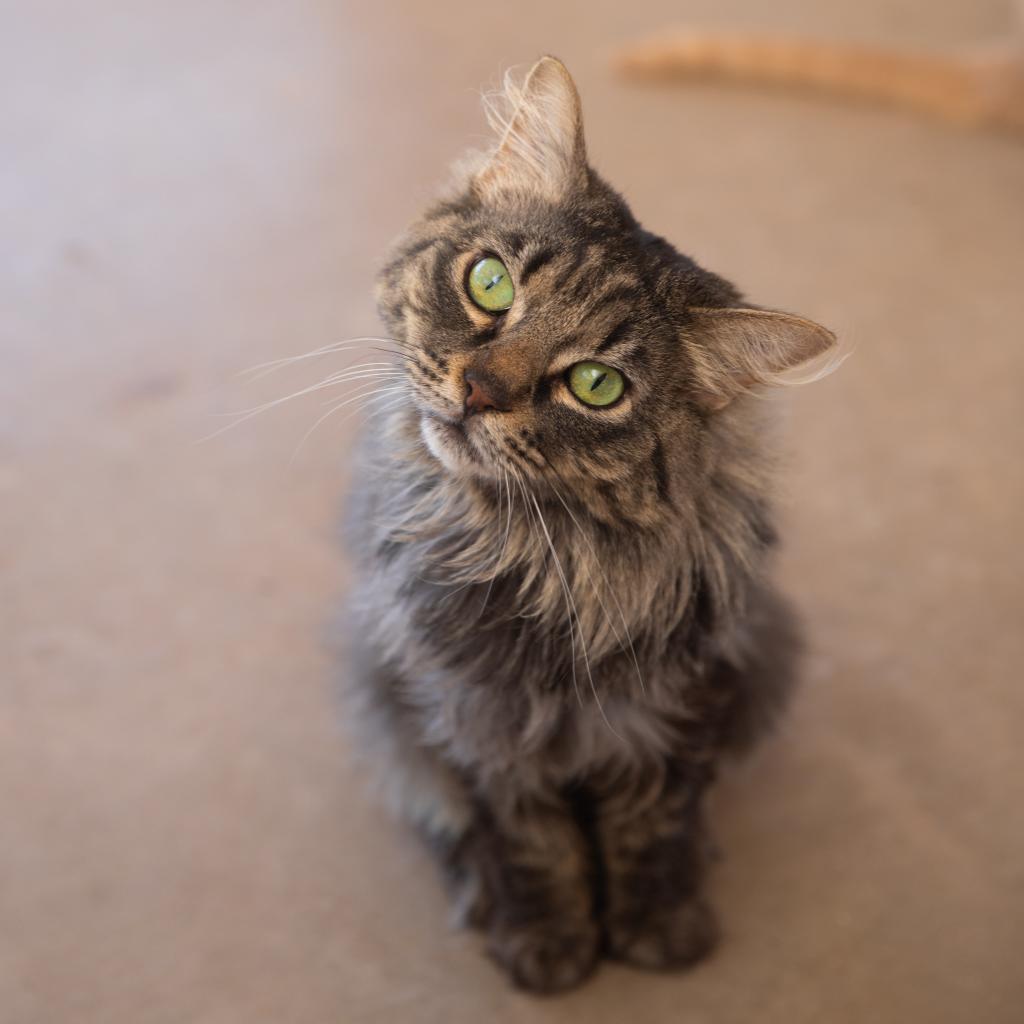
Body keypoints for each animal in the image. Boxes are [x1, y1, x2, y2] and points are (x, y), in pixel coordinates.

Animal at [339, 56, 835, 991]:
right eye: (490, 283)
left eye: (596, 385)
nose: (478, 391)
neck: (546, 556)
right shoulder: (471, 717)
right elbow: (527, 838)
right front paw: (549, 942)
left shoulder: (683, 703)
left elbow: (653, 825)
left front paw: (658, 927)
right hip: (372, 689)